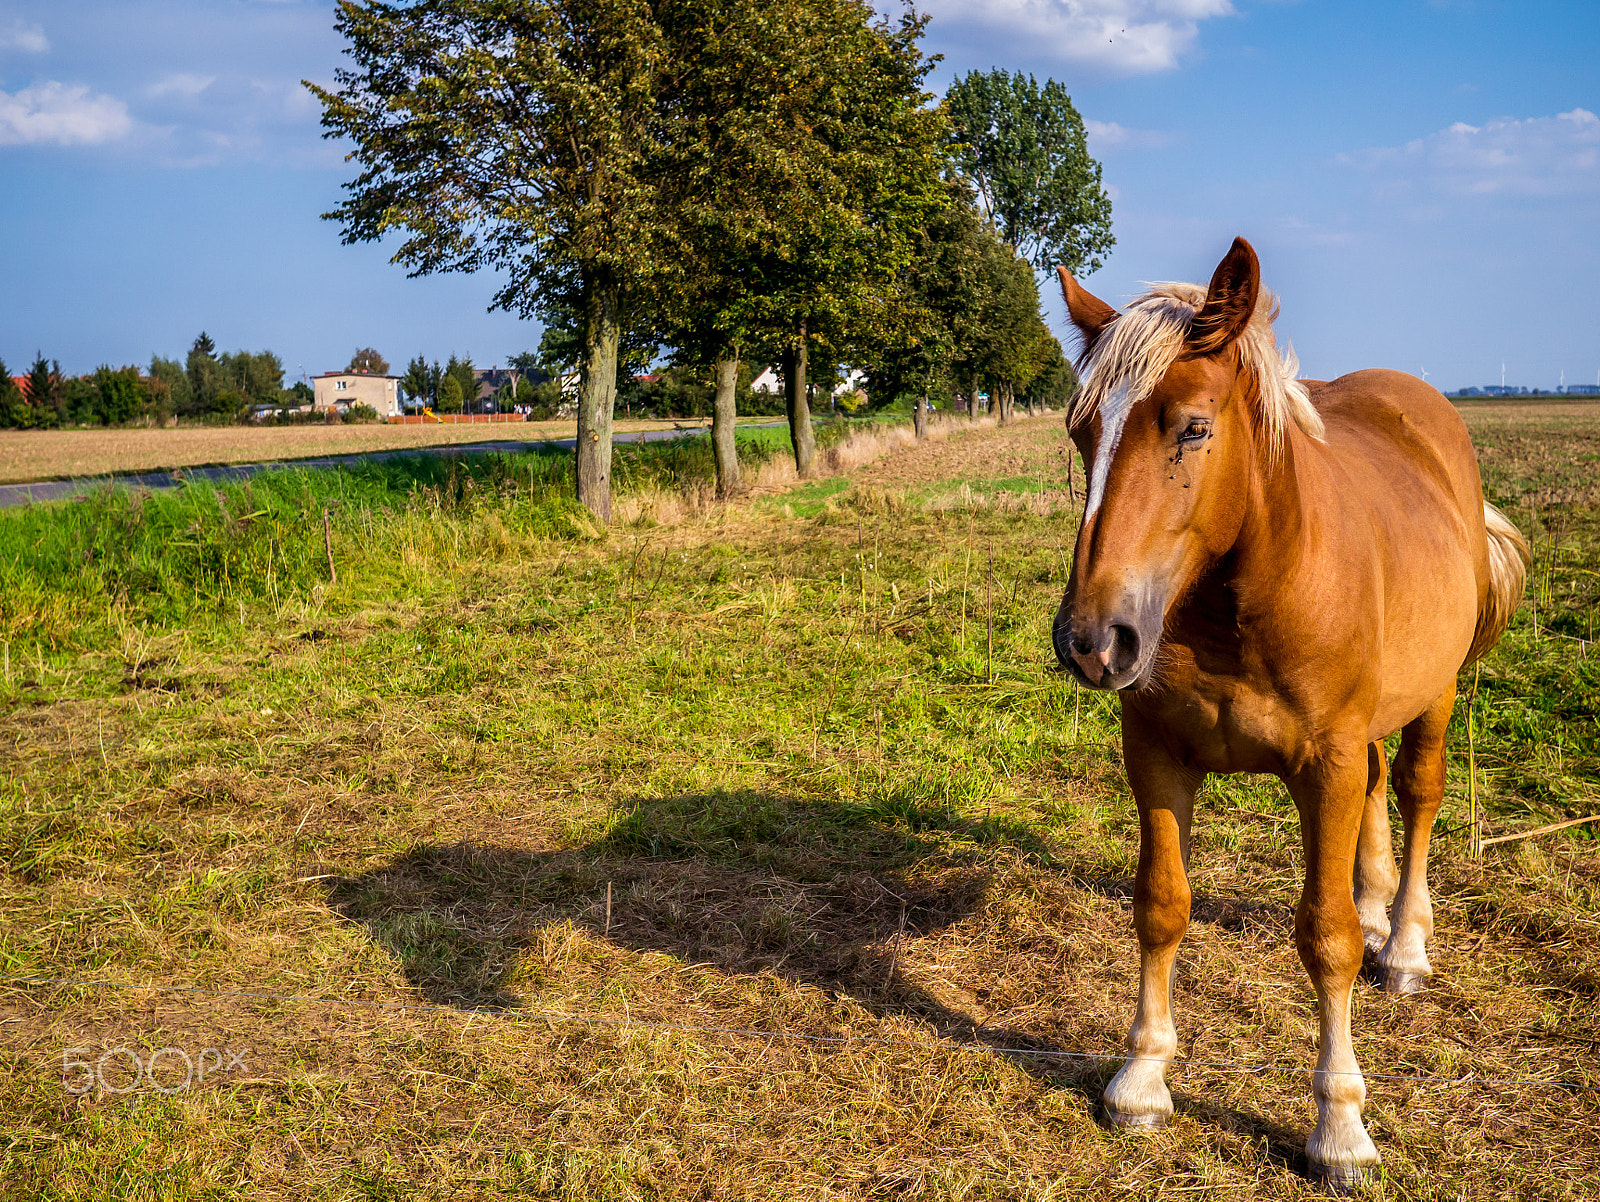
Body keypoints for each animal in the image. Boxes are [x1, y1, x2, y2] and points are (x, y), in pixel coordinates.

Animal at [1049, 236, 1523, 1197]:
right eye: (1083, 432)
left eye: (1192, 428)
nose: (1090, 640)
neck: (1243, 606)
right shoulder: (1157, 755)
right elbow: (1162, 905)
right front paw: (1141, 1079)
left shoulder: (1324, 765)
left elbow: (1326, 938)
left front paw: (1341, 1127)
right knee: (1379, 794)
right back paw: (1380, 910)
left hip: (1436, 694)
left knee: (1415, 791)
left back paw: (1403, 944)